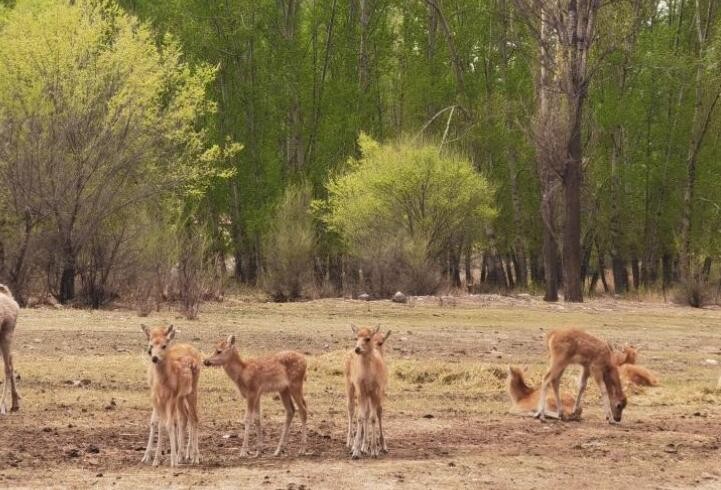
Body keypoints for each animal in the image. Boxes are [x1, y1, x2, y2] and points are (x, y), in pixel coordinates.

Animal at [140, 326, 200, 468]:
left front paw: (172, 459)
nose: (154, 358)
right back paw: (184, 455)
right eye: (150, 346)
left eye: (164, 345)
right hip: (181, 397)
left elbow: (169, 424)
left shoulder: (170, 398)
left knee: (194, 418)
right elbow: (156, 423)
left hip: (192, 391)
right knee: (185, 417)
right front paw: (150, 458)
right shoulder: (156, 398)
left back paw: (194, 457)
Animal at [344, 324, 388, 458]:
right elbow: (360, 417)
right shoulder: (361, 390)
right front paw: (356, 451)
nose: (357, 349)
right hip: (349, 386)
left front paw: (374, 450)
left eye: (368, 338)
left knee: (372, 413)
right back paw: (350, 442)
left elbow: (372, 417)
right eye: (356, 337)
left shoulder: (375, 391)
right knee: (351, 409)